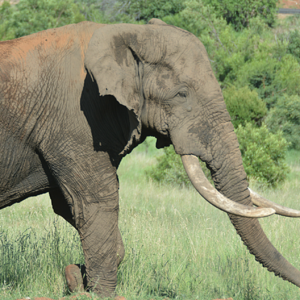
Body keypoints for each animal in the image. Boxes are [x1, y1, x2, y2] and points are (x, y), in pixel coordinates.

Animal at [0, 19, 300, 298]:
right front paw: (100, 293)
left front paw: (76, 279)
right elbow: (96, 199)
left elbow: (68, 205)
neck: (129, 34)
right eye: (181, 94)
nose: (73, 273)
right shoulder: (75, 121)